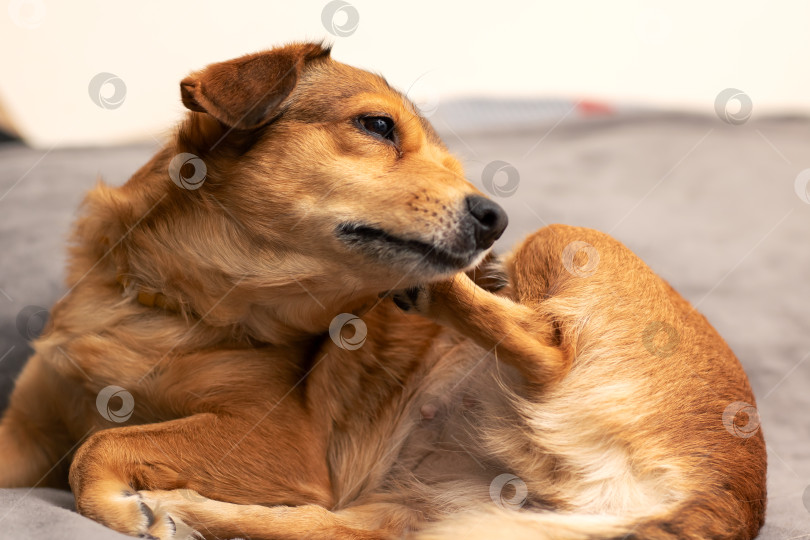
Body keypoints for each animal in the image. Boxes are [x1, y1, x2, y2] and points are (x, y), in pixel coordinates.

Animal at [0, 43, 764, 540]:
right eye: (375, 125)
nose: (494, 217)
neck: (172, 304)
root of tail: (726, 504)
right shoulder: (29, 429)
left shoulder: (283, 443)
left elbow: (103, 445)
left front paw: (115, 502)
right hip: (412, 515)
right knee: (321, 526)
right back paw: (191, 510)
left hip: (564, 240)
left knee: (547, 347)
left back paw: (454, 285)